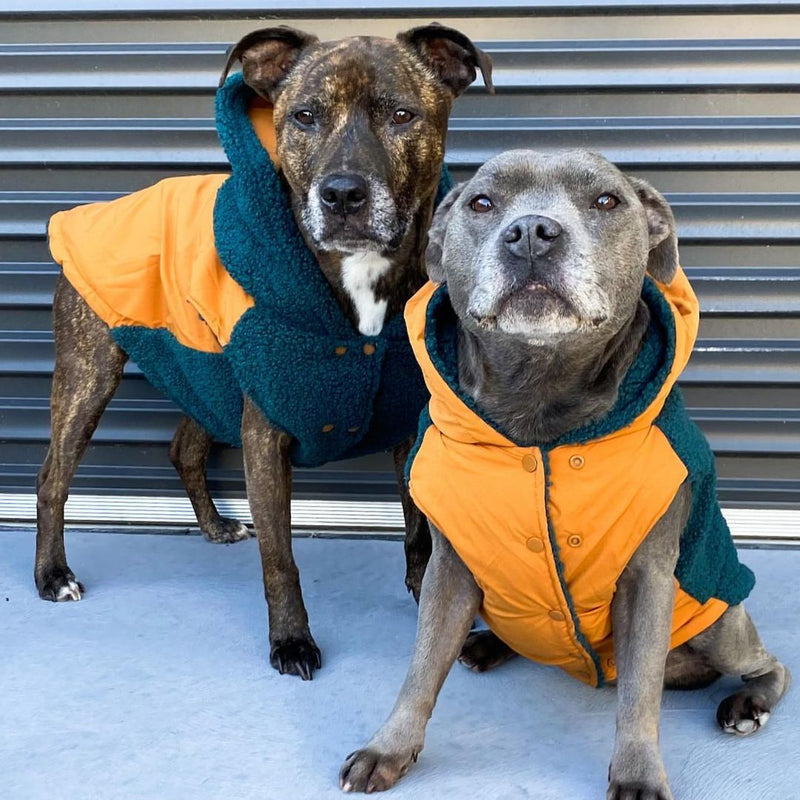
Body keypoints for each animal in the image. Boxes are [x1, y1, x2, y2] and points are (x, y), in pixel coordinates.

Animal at [34, 23, 490, 680]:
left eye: (403, 115)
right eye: (303, 116)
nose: (343, 193)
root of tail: (93, 209)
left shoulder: (406, 426)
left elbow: (417, 535)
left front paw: (435, 613)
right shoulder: (265, 432)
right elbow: (281, 556)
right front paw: (292, 641)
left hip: (210, 373)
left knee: (183, 448)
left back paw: (214, 527)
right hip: (89, 373)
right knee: (53, 475)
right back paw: (53, 574)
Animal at [338, 148, 788, 792]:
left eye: (607, 201)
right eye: (482, 202)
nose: (531, 232)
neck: (538, 404)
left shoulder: (648, 578)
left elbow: (638, 698)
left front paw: (638, 774)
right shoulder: (448, 567)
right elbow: (421, 669)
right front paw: (389, 746)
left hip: (719, 624)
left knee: (766, 665)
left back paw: (747, 704)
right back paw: (487, 645)